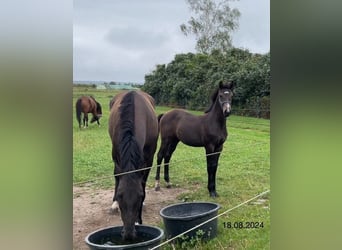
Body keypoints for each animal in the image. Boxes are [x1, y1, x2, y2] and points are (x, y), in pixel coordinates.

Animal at [108, 90, 159, 240]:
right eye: (120, 196)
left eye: (140, 196)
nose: (129, 234)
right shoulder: (116, 155)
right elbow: (117, 175)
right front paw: (115, 203)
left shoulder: (149, 158)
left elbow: (143, 182)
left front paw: (138, 219)